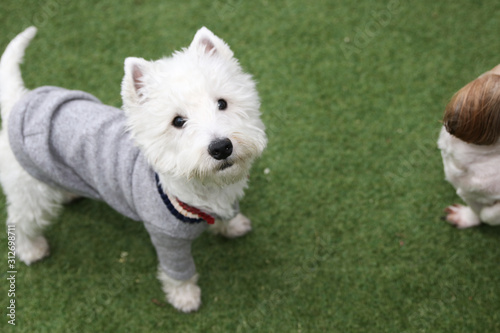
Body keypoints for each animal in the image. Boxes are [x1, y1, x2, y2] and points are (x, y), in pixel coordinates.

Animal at [0, 26, 268, 312]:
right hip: (30, 193)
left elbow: (229, 215)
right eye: (178, 121)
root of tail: (19, 101)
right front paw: (185, 297)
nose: (221, 147)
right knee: (18, 221)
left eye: (222, 103)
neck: (202, 186)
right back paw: (31, 250)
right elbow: (179, 273)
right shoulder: (167, 239)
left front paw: (234, 225)